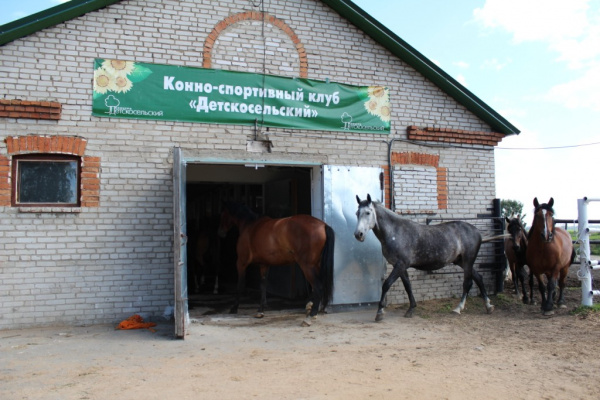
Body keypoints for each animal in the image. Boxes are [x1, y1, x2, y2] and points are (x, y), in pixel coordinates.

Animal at [354, 194, 504, 322]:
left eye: (368, 212)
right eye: (357, 213)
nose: (358, 234)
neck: (396, 232)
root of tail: (477, 232)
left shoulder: (400, 264)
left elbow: (386, 284)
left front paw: (380, 313)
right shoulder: (402, 266)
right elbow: (408, 286)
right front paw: (411, 309)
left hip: (468, 260)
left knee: (468, 283)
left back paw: (458, 308)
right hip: (462, 261)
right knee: (478, 278)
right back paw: (488, 306)